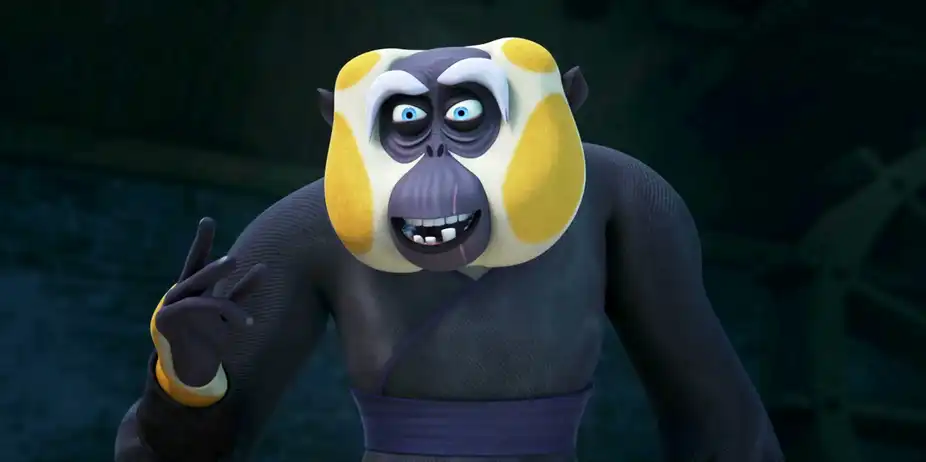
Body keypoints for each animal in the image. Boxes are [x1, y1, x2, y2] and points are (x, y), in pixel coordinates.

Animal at [114, 38, 784, 462]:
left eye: (464, 113)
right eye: (408, 120)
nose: (435, 154)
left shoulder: (651, 207)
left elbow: (720, 414)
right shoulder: (282, 231)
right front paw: (192, 341)